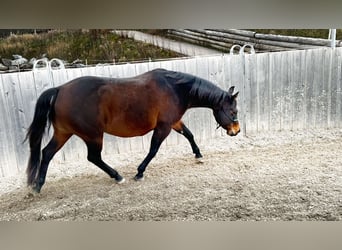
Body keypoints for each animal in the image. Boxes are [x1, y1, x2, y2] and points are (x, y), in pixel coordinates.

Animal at [24, 68, 240, 193]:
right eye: (233, 111)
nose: (236, 131)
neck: (175, 88)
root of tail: (60, 89)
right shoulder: (163, 127)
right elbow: (153, 150)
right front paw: (139, 172)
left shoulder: (174, 122)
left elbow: (189, 134)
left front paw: (198, 155)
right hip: (93, 135)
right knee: (93, 157)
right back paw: (118, 176)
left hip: (64, 132)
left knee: (47, 153)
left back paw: (38, 186)